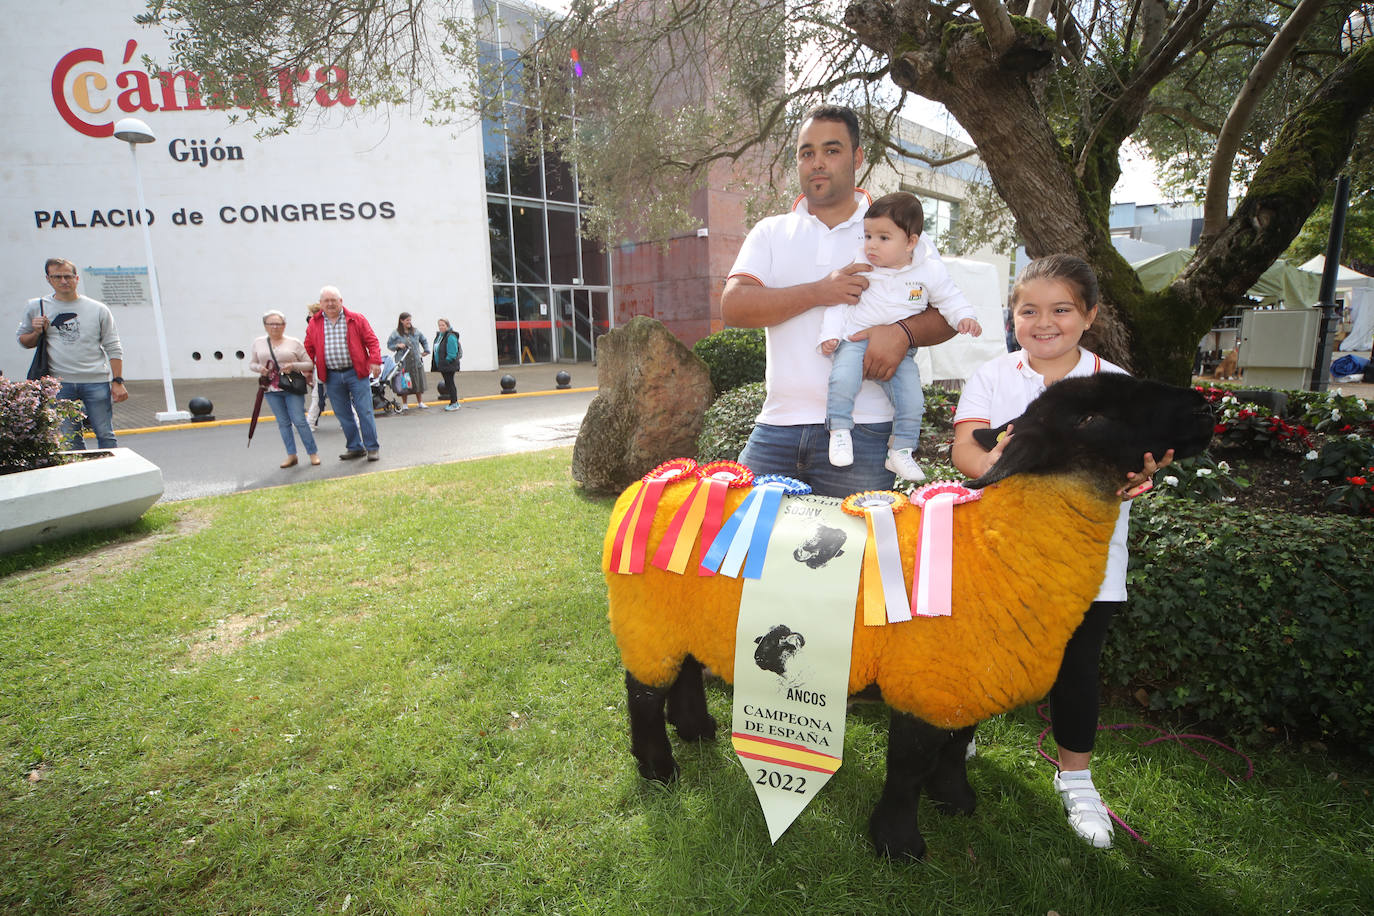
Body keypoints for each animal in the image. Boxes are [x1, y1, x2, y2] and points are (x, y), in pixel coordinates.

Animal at [601, 373, 1214, 862]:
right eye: (1093, 417)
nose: (1204, 408)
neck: (992, 543)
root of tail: (648, 481)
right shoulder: (923, 682)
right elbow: (909, 767)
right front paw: (898, 845)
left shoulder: (962, 681)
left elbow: (956, 746)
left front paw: (958, 802)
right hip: (644, 618)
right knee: (643, 692)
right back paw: (658, 767)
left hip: (676, 619)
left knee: (681, 670)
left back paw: (696, 729)